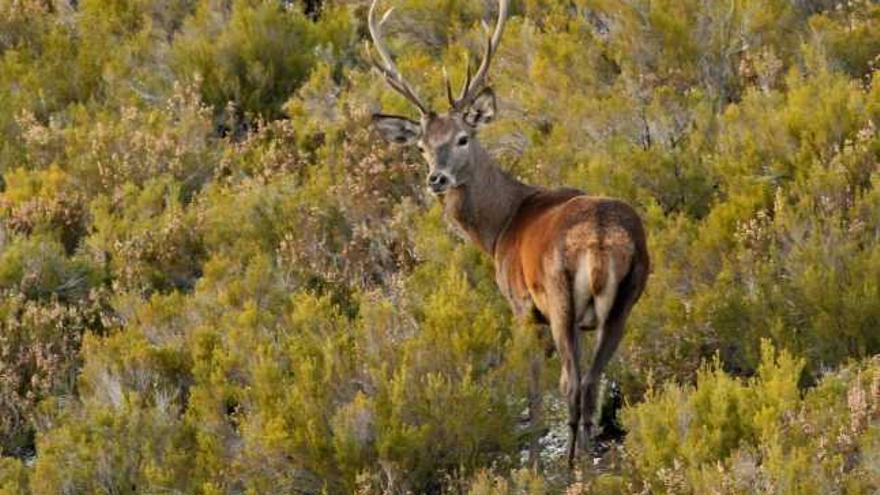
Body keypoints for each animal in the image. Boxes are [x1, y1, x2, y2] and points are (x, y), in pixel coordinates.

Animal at [364, 0, 648, 466]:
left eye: (463, 137)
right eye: (422, 146)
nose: (436, 179)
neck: (500, 227)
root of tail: (602, 239)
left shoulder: (521, 305)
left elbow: (532, 390)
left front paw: (530, 464)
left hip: (560, 297)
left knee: (572, 384)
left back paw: (570, 469)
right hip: (627, 298)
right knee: (591, 383)